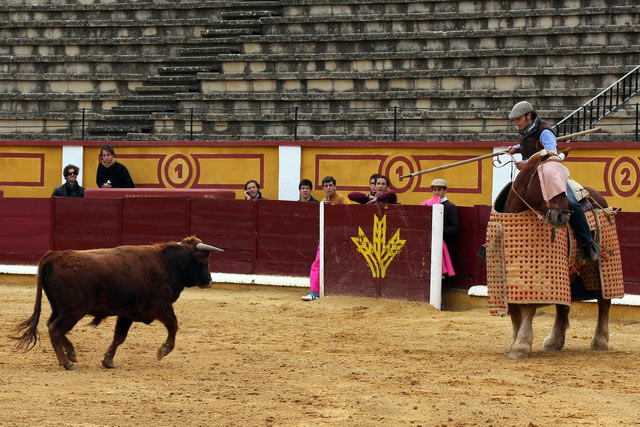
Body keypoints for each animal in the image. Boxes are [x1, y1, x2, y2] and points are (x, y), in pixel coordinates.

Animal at [10, 236, 222, 370]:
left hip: (59, 308)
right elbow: (174, 325)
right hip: (73, 310)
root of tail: (55, 256)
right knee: (55, 329)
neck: (167, 263)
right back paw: (67, 363)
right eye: (203, 261)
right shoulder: (161, 307)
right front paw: (163, 350)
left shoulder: (126, 313)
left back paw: (71, 354)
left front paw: (108, 361)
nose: (210, 281)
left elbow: (119, 337)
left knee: (52, 326)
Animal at [490, 152, 620, 360]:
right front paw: (514, 342)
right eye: (546, 181)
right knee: (564, 304)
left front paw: (521, 345)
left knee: (603, 300)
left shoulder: (536, 275)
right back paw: (554, 341)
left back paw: (599, 341)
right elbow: (515, 311)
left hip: (601, 268)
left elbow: (528, 308)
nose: (562, 217)